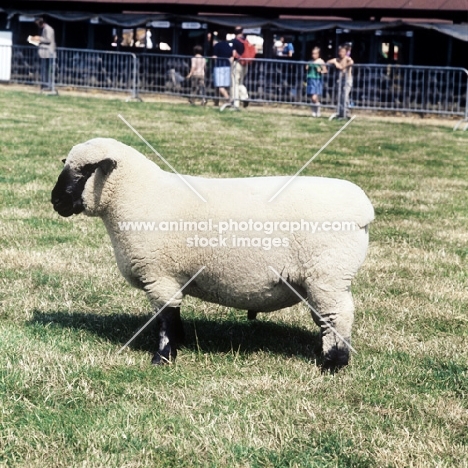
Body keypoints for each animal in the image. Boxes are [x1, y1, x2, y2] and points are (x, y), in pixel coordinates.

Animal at [50, 137, 372, 372]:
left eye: (86, 171)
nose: (55, 201)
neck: (137, 196)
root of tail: (364, 208)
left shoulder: (159, 275)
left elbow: (165, 320)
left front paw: (162, 359)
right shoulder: (170, 279)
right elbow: (173, 318)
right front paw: (180, 344)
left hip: (328, 275)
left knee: (338, 317)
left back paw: (333, 364)